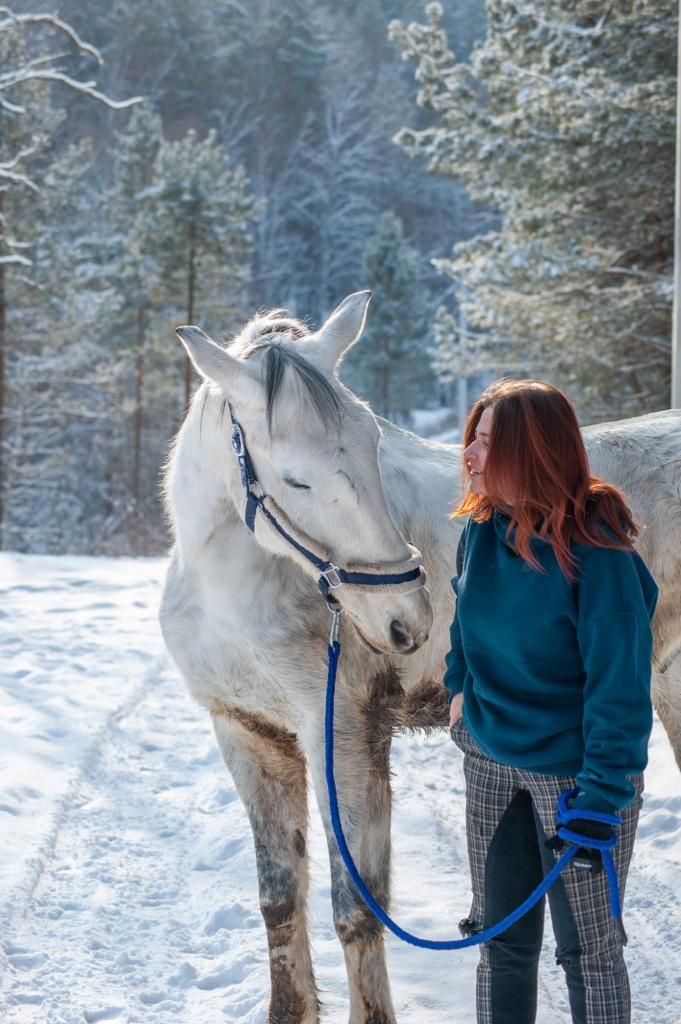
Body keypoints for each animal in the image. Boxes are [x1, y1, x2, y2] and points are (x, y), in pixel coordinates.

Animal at [160, 290, 679, 1024]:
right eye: (294, 479)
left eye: (374, 441)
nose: (403, 618)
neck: (233, 589)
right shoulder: (246, 735)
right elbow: (278, 898)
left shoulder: (342, 738)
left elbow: (356, 907)